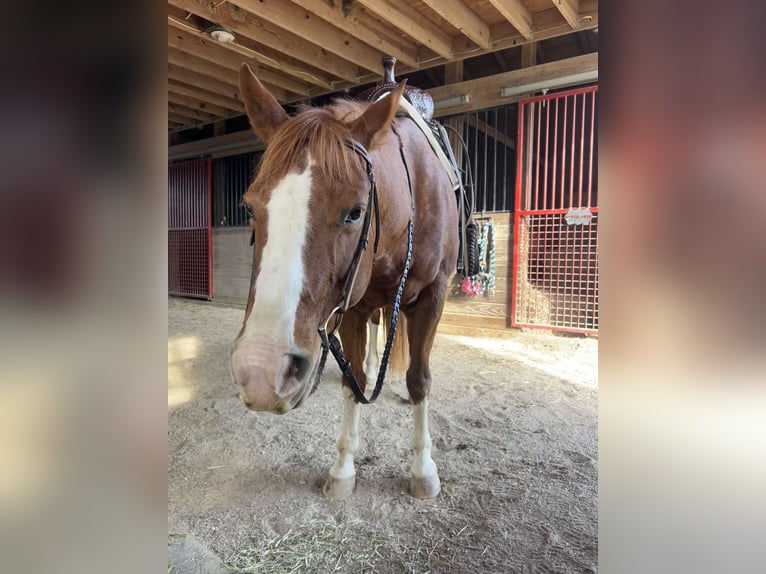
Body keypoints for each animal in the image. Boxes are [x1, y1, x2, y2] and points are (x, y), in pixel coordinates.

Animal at [230, 63, 458, 499]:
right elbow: (355, 382)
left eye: (355, 211)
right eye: (249, 207)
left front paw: (423, 469)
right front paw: (343, 470)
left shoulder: (433, 296)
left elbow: (419, 379)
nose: (261, 372)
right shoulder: (353, 304)